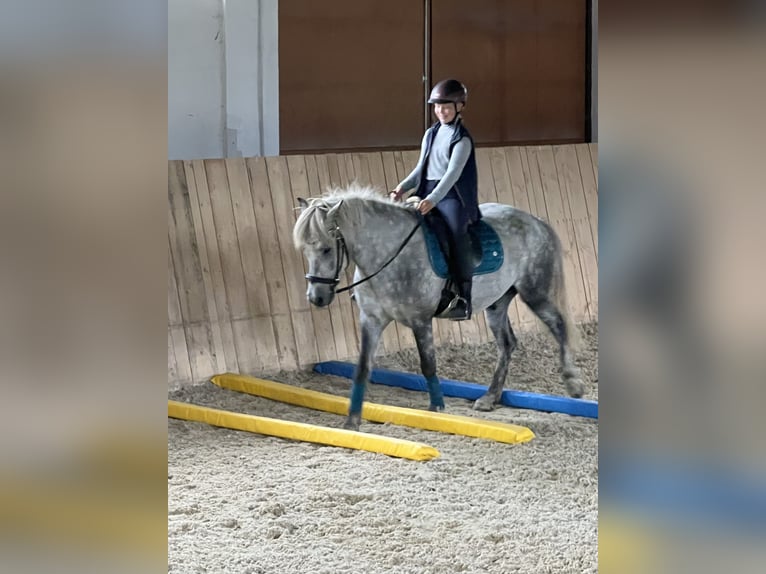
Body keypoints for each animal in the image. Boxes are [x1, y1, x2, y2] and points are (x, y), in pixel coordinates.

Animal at [294, 186, 584, 432]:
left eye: (326, 249)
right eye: (305, 250)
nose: (316, 297)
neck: (389, 254)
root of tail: (535, 221)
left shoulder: (420, 320)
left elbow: (428, 365)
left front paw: (437, 408)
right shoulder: (371, 320)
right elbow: (362, 368)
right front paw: (352, 422)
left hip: (535, 292)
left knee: (558, 326)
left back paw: (573, 384)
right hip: (497, 303)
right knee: (507, 344)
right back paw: (489, 398)